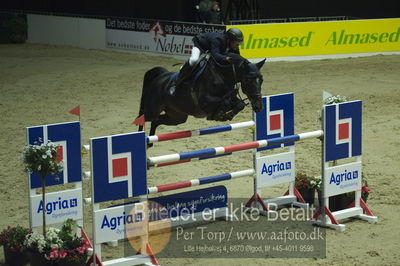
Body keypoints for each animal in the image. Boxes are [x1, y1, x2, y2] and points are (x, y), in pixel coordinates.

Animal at [138, 52, 266, 139]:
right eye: (248, 80)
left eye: (261, 80)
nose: (258, 106)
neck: (222, 75)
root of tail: (161, 76)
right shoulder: (205, 102)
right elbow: (224, 102)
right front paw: (219, 115)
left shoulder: (231, 97)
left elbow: (239, 104)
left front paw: (226, 115)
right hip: (153, 109)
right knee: (143, 117)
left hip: (177, 116)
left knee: (156, 121)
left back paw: (149, 143)